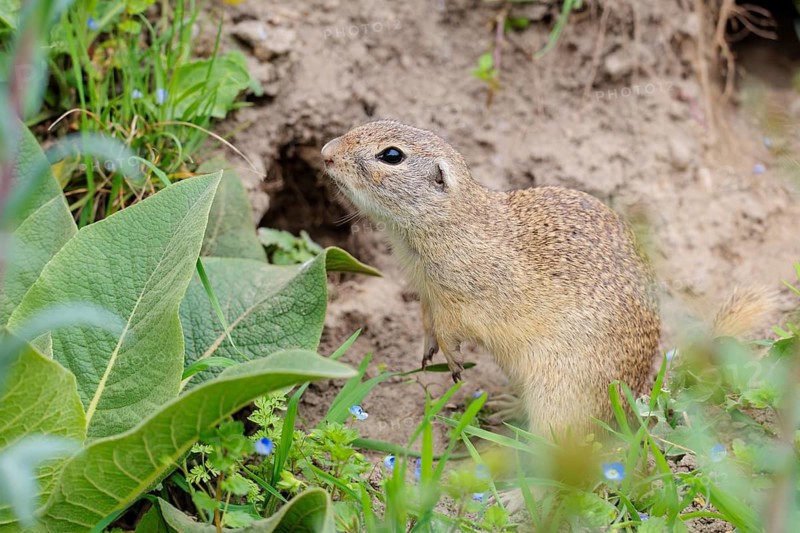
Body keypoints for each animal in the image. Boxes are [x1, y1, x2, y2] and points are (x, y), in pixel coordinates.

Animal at [321, 119, 775, 438]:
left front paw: (451, 359)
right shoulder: (425, 293)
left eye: (391, 155)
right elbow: (427, 319)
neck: (451, 222)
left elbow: (454, 327)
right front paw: (427, 346)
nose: (325, 153)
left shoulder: (467, 296)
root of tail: (636, 399)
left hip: (559, 393)